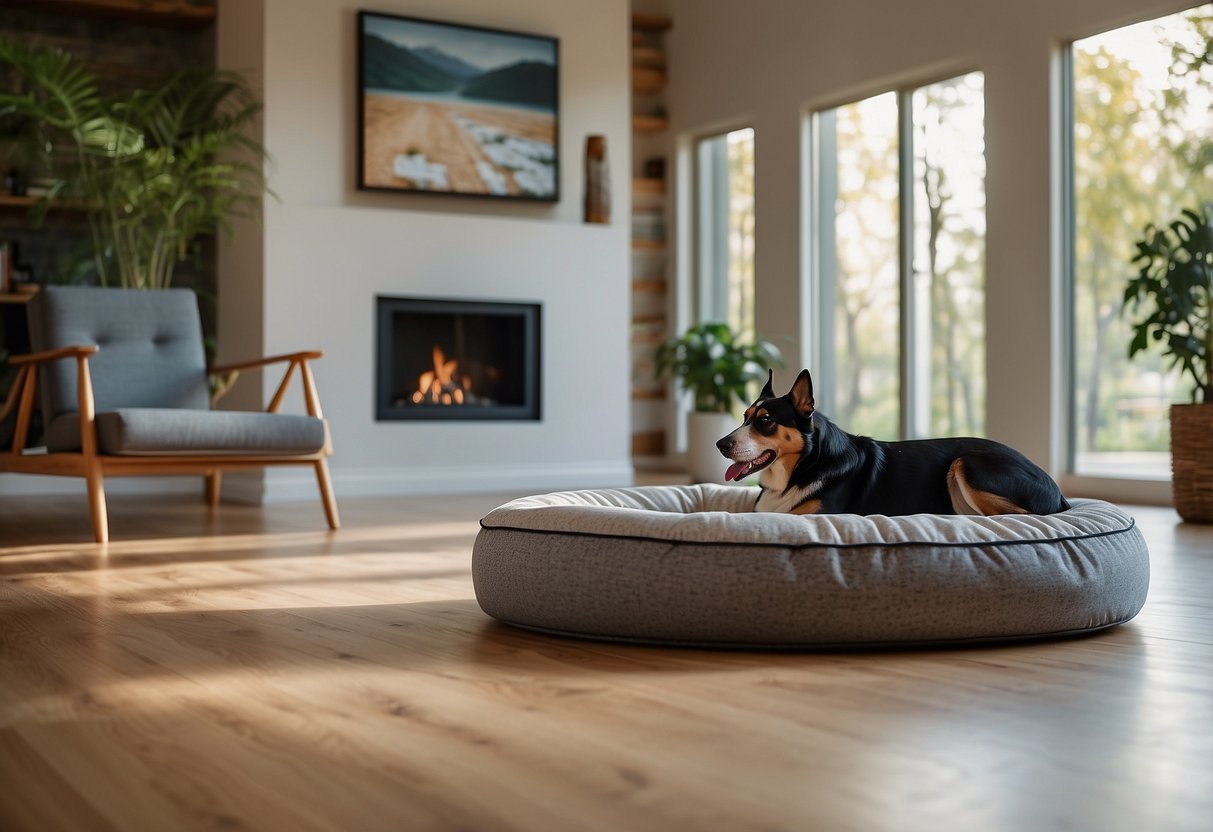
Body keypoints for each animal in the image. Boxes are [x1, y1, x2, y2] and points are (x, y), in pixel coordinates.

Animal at [713, 371, 1067, 519]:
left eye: (766, 421)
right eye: (744, 417)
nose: (720, 444)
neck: (805, 465)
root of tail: (1060, 494)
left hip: (966, 464)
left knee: (1018, 517)